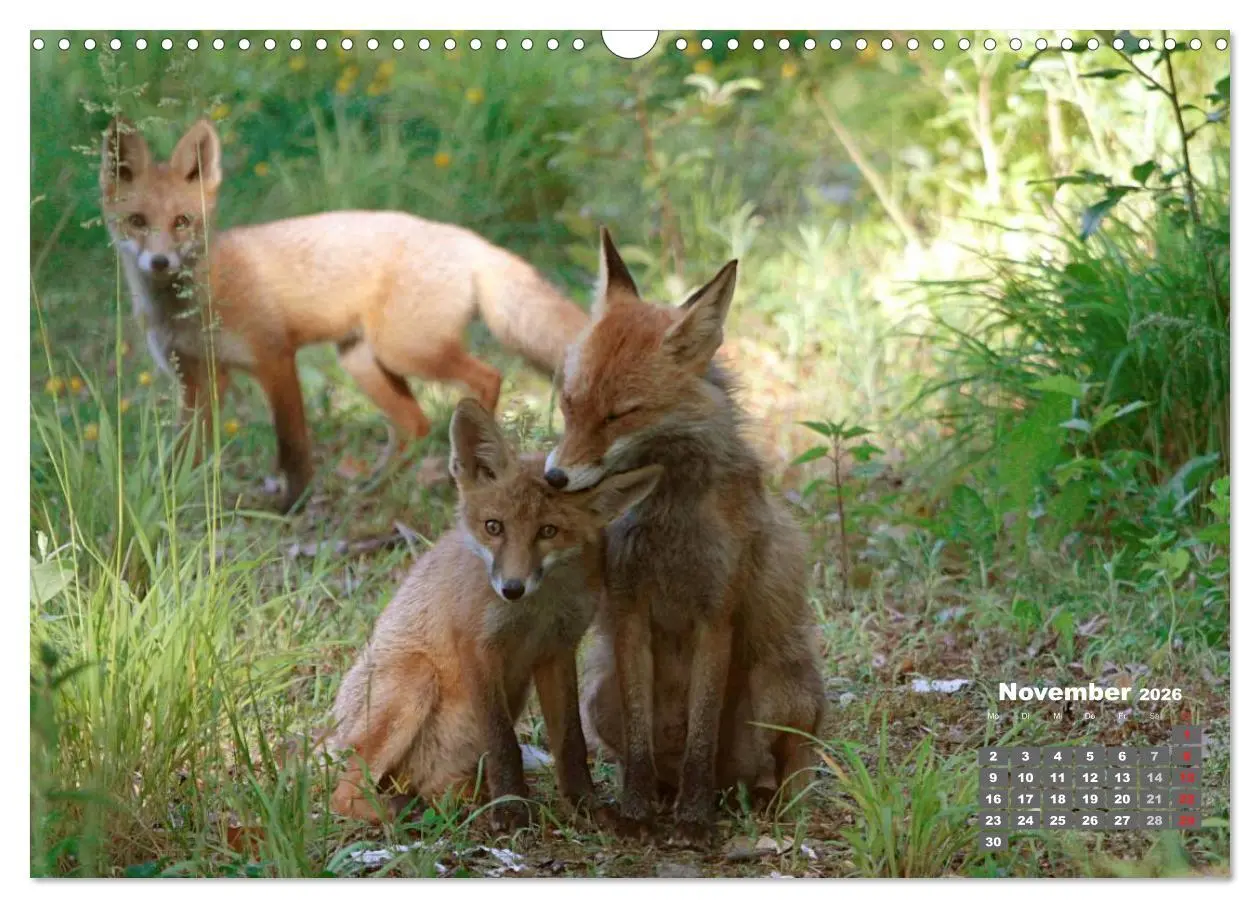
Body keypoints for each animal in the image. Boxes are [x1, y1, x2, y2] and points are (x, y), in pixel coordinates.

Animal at [99, 117, 588, 512]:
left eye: (182, 221)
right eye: (137, 221)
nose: (160, 262)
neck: (195, 304)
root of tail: (469, 239)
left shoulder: (274, 359)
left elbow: (293, 445)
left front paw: (293, 505)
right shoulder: (198, 380)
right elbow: (184, 452)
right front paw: (171, 499)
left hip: (408, 351)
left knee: (486, 377)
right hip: (363, 361)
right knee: (415, 424)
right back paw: (377, 487)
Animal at [329, 398, 662, 830]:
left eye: (548, 532)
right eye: (494, 527)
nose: (512, 588)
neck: (537, 610)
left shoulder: (557, 649)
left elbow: (571, 742)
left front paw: (584, 804)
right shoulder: (477, 646)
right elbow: (503, 742)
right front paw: (512, 811)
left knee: (437, 789)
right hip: (416, 678)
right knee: (342, 795)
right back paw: (403, 811)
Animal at [543, 229, 826, 843]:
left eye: (619, 415)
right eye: (570, 402)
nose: (554, 477)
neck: (667, 515)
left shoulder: (716, 614)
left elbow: (702, 731)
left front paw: (695, 821)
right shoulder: (629, 607)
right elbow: (641, 744)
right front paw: (636, 811)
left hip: (777, 688)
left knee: (787, 764)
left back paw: (763, 803)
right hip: (597, 696)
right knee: (661, 757)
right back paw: (668, 796)